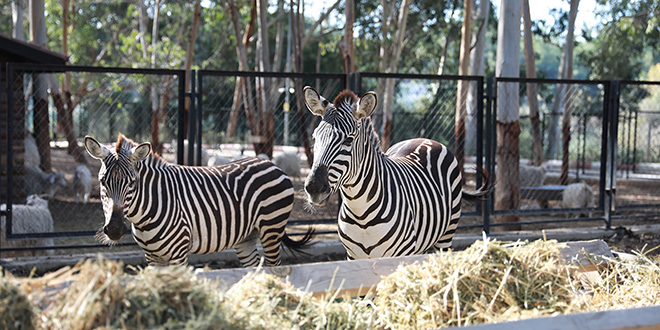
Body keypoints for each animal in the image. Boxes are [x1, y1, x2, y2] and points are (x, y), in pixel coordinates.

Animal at [83, 133, 314, 266]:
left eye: (132, 183)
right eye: (103, 181)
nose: (114, 229)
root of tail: (272, 165)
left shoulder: (178, 253)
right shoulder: (152, 257)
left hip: (271, 229)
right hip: (246, 237)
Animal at [302, 87, 490, 260]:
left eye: (348, 140)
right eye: (315, 138)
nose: (313, 187)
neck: (360, 214)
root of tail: (425, 139)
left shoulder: (400, 254)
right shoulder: (353, 256)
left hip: (446, 234)